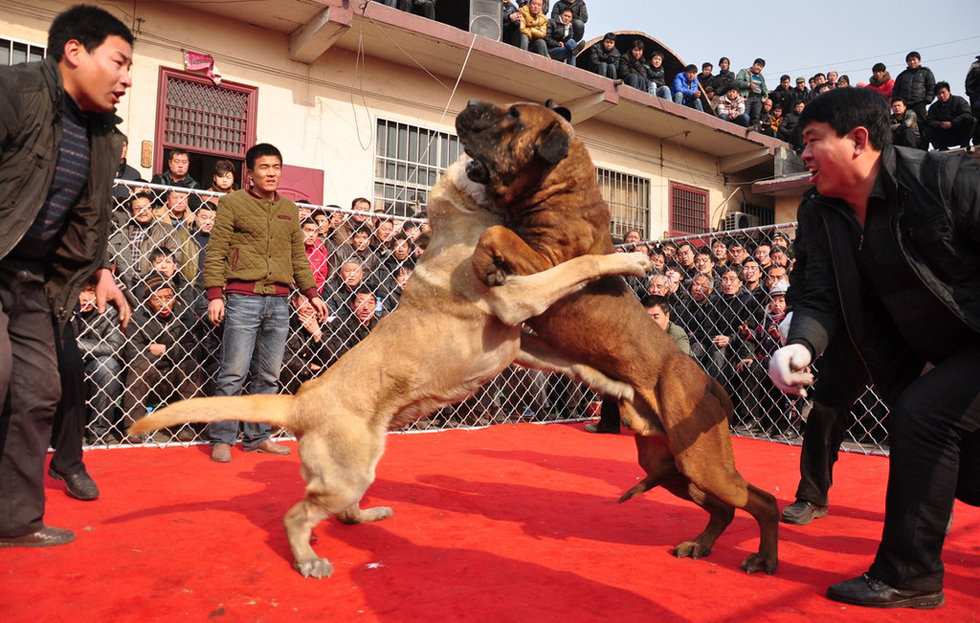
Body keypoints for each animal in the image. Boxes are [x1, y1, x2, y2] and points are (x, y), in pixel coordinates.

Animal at [130, 158, 652, 576]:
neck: (463, 222)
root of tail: (300, 402)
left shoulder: (517, 340)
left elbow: (575, 364)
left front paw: (620, 386)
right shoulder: (517, 300)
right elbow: (578, 267)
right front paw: (631, 259)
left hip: (356, 473)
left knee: (340, 512)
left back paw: (370, 517)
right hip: (347, 473)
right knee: (297, 515)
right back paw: (310, 561)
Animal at [460, 98, 780, 576]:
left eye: (513, 117)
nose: (468, 103)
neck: (561, 190)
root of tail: (711, 383)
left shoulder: (547, 261)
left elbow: (494, 232)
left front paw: (488, 265)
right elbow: (493, 230)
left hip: (703, 463)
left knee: (762, 500)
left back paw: (766, 556)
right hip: (671, 463)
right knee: (722, 508)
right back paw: (700, 545)